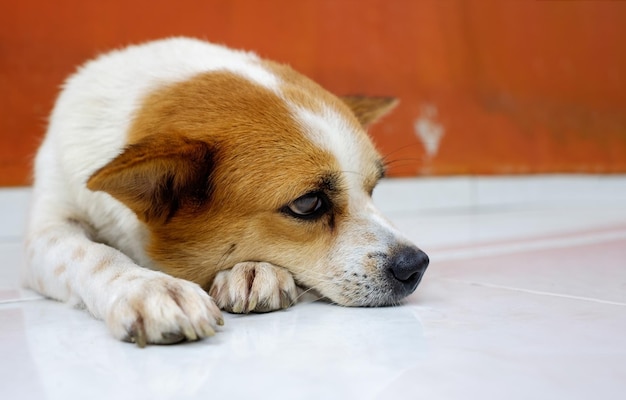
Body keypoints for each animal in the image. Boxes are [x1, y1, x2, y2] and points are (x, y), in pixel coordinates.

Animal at [22, 36, 426, 346]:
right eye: (308, 203)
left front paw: (252, 270)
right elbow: (92, 253)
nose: (416, 266)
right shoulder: (47, 229)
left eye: (373, 187)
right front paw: (149, 288)